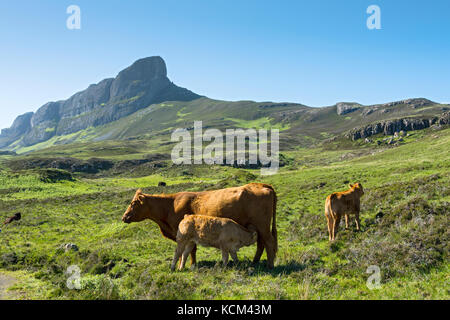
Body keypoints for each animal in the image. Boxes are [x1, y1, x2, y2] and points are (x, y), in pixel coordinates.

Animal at [123, 182, 278, 268]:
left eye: (133, 203)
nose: (124, 217)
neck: (170, 205)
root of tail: (262, 185)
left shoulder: (184, 234)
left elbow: (188, 250)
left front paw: (188, 265)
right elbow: (190, 250)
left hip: (263, 226)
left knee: (269, 242)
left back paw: (270, 265)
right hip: (259, 227)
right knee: (261, 243)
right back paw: (255, 262)